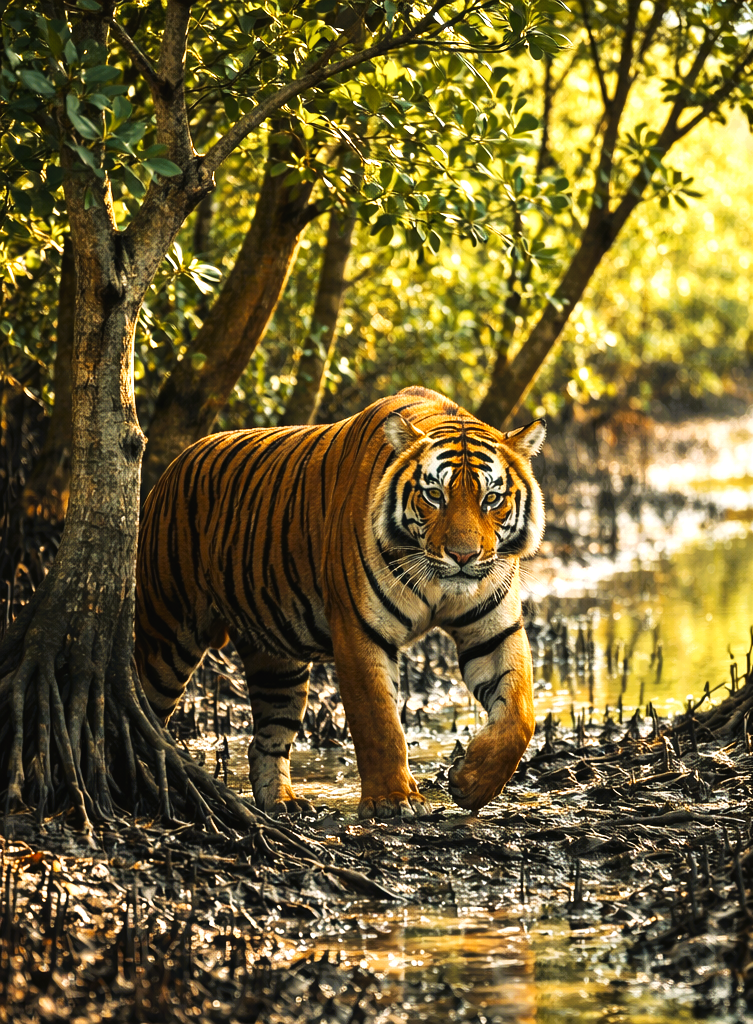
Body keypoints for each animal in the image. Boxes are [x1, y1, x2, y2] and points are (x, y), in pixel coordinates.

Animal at [135, 386, 546, 819]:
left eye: (492, 498)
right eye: (435, 495)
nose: (463, 556)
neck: (437, 583)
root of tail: (173, 466)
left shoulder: (494, 629)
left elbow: (520, 714)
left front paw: (473, 783)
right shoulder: (360, 629)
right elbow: (378, 720)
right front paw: (393, 800)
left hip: (276, 662)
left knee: (267, 737)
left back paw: (283, 802)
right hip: (167, 634)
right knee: (144, 702)